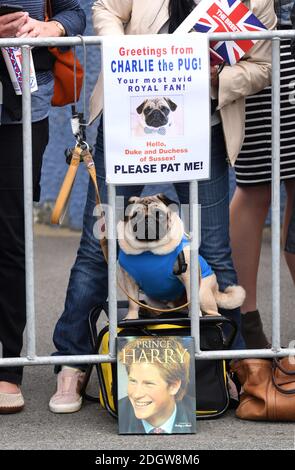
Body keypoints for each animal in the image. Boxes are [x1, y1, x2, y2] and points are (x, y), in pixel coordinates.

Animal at [117, 194, 246, 320]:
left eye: (160, 214)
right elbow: (133, 303)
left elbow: (191, 299)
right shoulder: (129, 280)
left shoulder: (188, 276)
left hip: (203, 293)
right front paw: (131, 317)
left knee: (215, 312)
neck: (148, 249)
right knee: (159, 311)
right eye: (135, 216)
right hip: (152, 300)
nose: (147, 220)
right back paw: (149, 312)